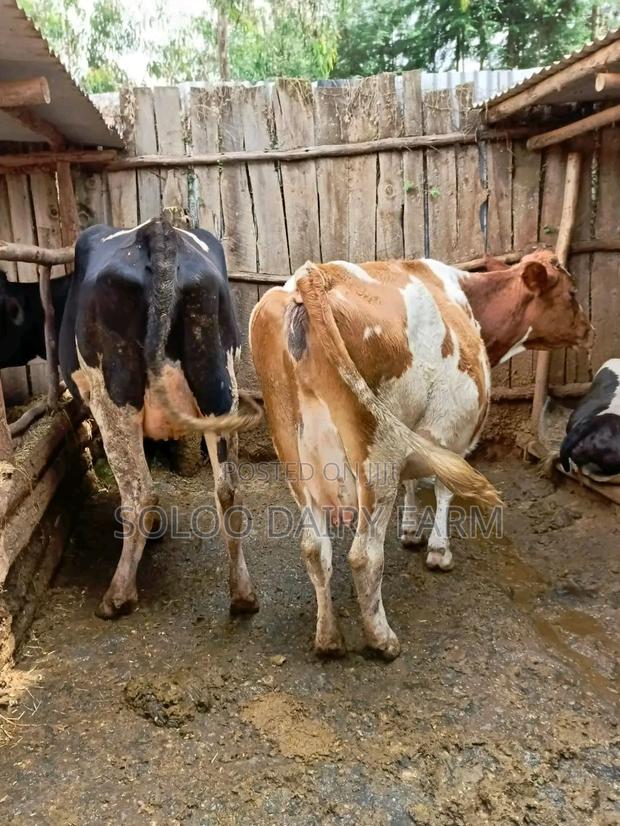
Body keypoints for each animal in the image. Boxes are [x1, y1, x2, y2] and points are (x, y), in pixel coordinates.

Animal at [59, 217, 262, 619]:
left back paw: (117, 596)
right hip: (219, 385)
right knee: (228, 489)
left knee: (139, 491)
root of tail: (157, 230)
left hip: (115, 396)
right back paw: (243, 595)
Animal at [250, 251, 592, 660]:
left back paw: (328, 639)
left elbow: (414, 483)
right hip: (377, 457)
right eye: (571, 291)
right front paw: (439, 551)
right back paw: (382, 640)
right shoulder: (450, 431)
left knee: (315, 549)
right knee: (364, 555)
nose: (588, 329)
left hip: (294, 458)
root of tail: (311, 275)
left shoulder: (422, 430)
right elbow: (444, 488)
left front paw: (411, 531)